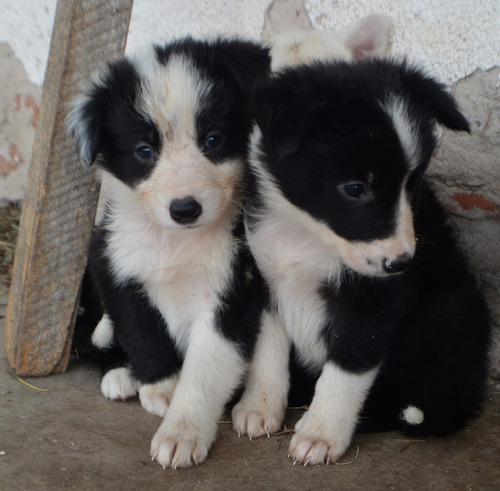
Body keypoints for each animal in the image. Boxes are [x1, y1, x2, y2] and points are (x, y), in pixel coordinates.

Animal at [67, 38, 270, 468]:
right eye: (144, 151)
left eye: (213, 140)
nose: (185, 208)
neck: (178, 240)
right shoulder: (114, 264)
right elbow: (142, 330)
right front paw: (160, 388)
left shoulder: (232, 291)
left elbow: (205, 368)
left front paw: (182, 432)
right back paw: (120, 373)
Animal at [232, 59, 490, 468]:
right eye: (355, 189)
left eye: (411, 184)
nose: (400, 263)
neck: (308, 235)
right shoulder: (266, 276)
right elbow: (267, 348)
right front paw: (259, 406)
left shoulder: (376, 300)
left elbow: (348, 365)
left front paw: (320, 433)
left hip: (451, 310)